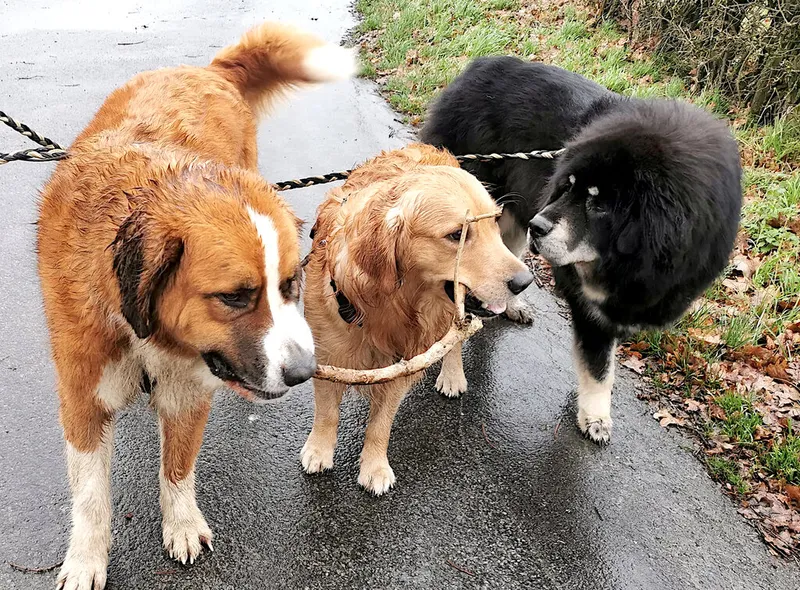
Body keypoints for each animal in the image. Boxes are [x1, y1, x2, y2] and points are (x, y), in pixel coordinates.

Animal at [37, 22, 356, 589]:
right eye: (235, 297)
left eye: (290, 285)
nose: (304, 373)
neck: (141, 325)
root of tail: (205, 71)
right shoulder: (83, 399)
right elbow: (91, 495)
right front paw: (86, 558)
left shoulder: (187, 390)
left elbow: (178, 466)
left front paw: (181, 524)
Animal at [300, 144, 533, 494]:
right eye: (457, 234)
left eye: (495, 224)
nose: (525, 281)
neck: (386, 305)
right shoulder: (327, 354)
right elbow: (327, 413)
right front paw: (319, 450)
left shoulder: (405, 362)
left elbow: (380, 424)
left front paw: (375, 466)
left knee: (455, 339)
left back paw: (452, 375)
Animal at [421, 56, 742, 444]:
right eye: (568, 187)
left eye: (599, 204)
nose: (538, 226)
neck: (635, 262)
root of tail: (480, 64)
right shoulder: (589, 304)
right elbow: (599, 365)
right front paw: (596, 415)